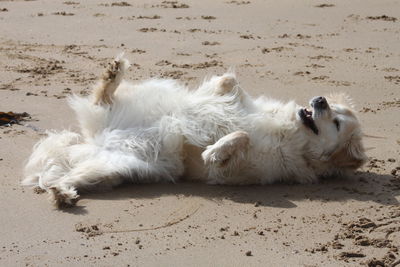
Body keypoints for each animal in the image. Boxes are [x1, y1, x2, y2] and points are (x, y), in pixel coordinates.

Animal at [21, 55, 366, 208]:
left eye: (336, 123)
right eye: (334, 111)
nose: (320, 100)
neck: (290, 132)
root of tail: (96, 142)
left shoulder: (234, 172)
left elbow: (239, 138)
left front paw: (214, 149)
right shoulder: (250, 106)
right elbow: (229, 90)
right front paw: (224, 88)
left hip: (113, 168)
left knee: (65, 179)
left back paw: (63, 194)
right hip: (124, 114)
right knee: (103, 97)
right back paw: (113, 72)